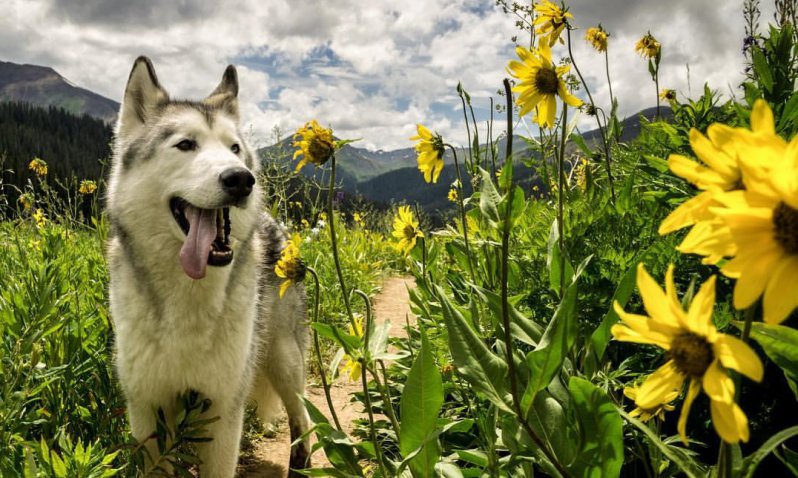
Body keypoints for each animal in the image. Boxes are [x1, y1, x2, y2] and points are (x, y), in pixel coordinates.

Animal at [104, 58, 310, 476]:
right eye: (186, 144)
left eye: (234, 148)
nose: (241, 179)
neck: (188, 297)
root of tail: (274, 223)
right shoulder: (147, 409)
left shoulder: (223, 409)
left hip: (284, 361)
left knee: (305, 418)